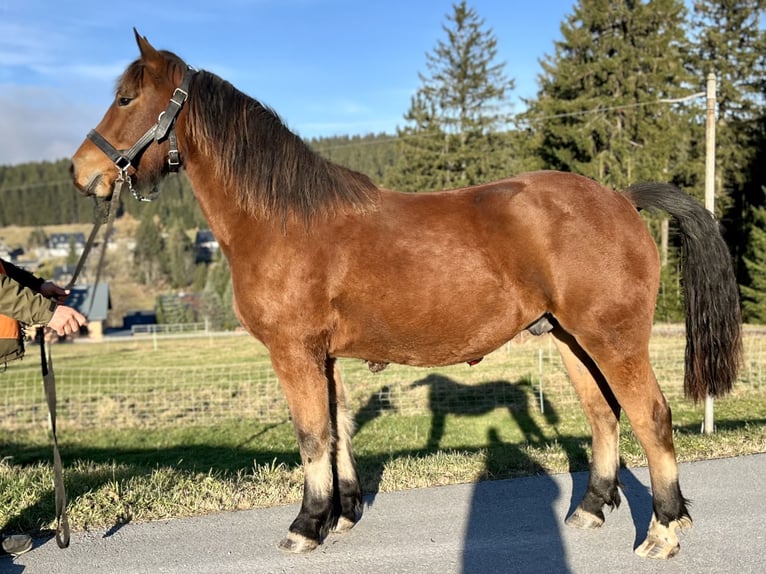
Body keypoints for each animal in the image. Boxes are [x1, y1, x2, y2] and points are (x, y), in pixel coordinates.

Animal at [72, 32, 744, 564]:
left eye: (126, 99)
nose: (83, 173)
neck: (283, 220)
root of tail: (621, 199)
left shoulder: (293, 352)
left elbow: (311, 435)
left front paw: (305, 525)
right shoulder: (324, 355)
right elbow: (339, 429)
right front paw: (341, 513)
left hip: (614, 340)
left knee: (651, 416)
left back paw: (663, 530)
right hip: (570, 340)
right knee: (604, 417)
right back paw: (591, 509)